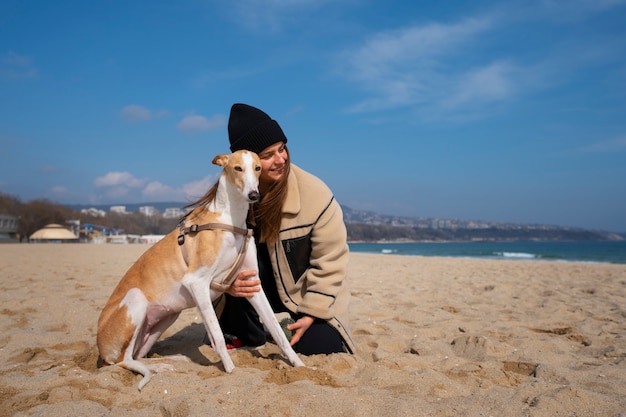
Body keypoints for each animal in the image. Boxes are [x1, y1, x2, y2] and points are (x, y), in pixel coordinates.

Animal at [95, 150, 304, 390]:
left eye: (258, 168)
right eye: (237, 168)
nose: (253, 195)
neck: (229, 219)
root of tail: (101, 351)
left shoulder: (252, 283)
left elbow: (277, 330)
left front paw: (299, 365)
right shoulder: (197, 282)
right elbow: (218, 336)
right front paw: (231, 372)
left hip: (166, 317)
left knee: (137, 357)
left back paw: (169, 362)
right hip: (136, 299)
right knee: (124, 360)